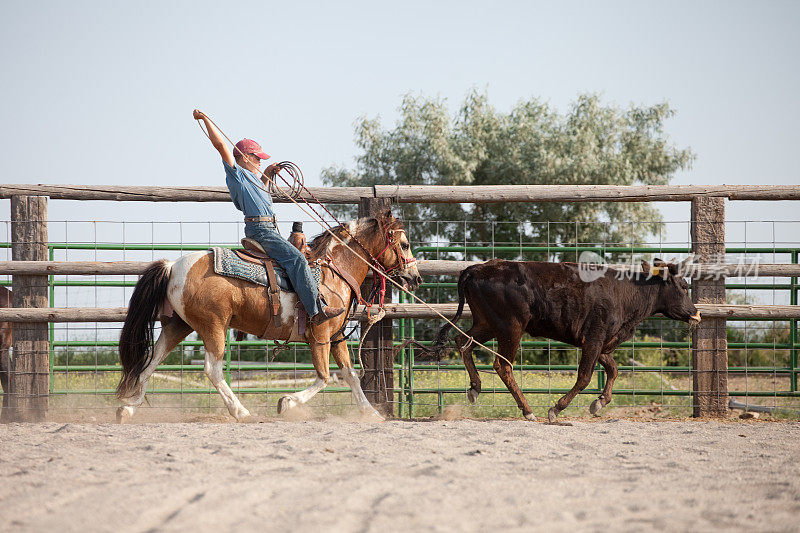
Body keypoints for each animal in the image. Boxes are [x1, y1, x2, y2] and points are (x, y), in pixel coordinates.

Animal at [116, 210, 422, 422]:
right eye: (405, 244)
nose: (416, 277)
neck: (335, 272)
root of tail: (173, 266)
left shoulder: (336, 336)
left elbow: (350, 375)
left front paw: (371, 413)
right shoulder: (320, 334)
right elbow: (324, 377)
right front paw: (286, 403)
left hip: (177, 325)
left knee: (151, 362)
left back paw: (128, 408)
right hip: (213, 326)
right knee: (212, 370)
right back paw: (241, 412)